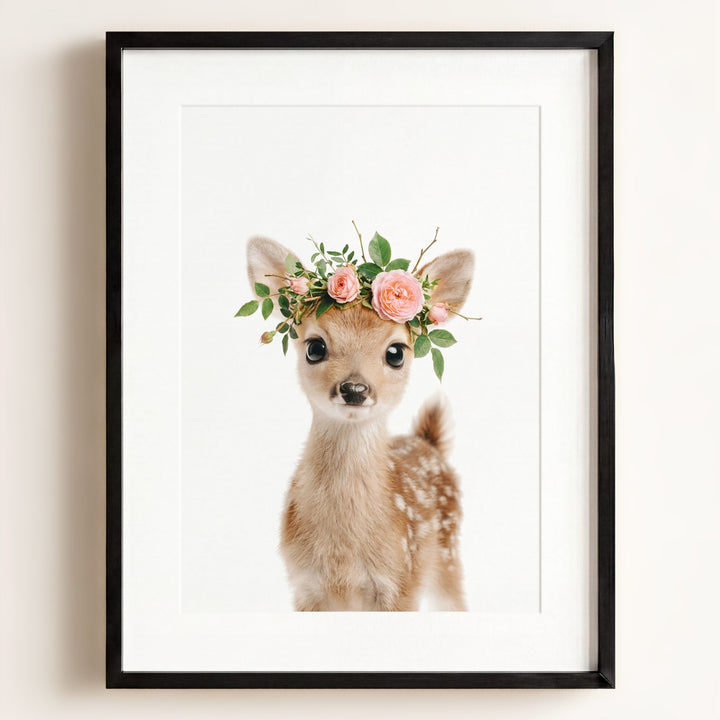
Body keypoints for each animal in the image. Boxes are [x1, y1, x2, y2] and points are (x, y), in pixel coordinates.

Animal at [246, 236, 475, 611]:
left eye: (396, 352)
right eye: (315, 347)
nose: (355, 389)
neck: (342, 556)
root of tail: (428, 442)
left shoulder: (401, 582)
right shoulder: (304, 586)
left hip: (448, 554)